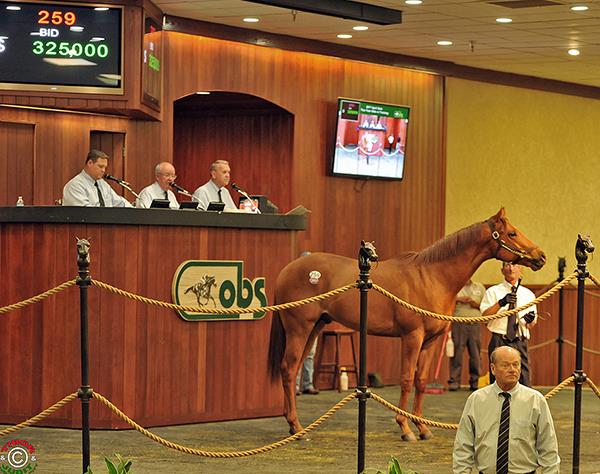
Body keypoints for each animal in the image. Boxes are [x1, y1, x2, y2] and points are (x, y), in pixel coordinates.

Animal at [270, 207, 548, 440]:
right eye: (512, 233)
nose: (541, 256)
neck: (432, 276)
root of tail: (287, 269)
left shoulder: (431, 342)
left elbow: (421, 381)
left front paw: (422, 427)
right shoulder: (412, 337)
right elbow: (405, 379)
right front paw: (405, 428)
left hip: (314, 328)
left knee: (293, 369)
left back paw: (292, 426)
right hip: (299, 329)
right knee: (288, 368)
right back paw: (297, 428)